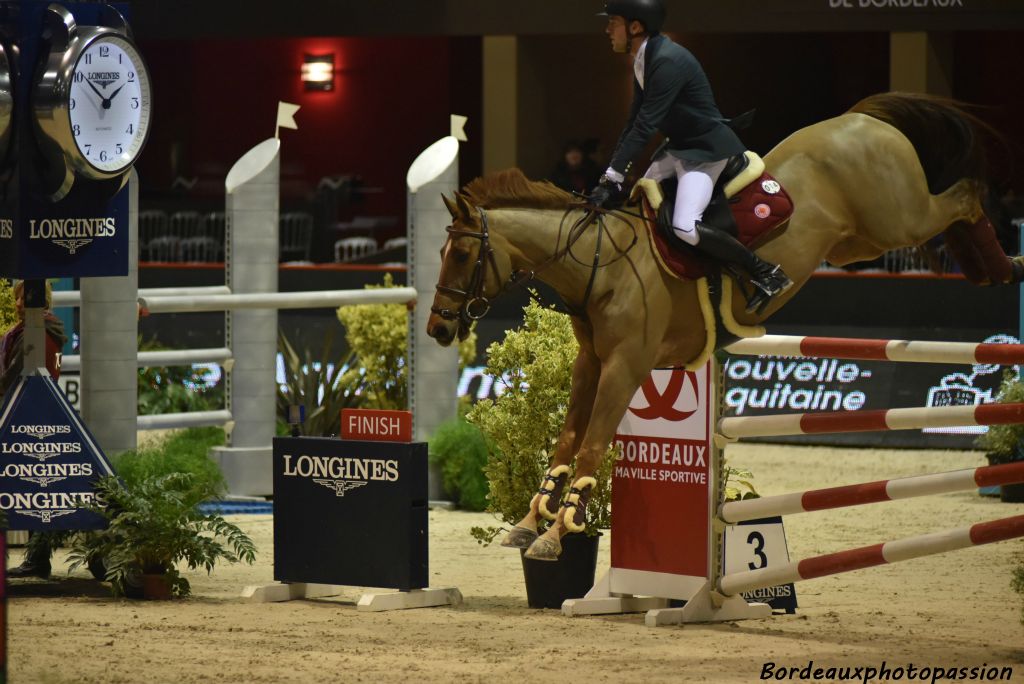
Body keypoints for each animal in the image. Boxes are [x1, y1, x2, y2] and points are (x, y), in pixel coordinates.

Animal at [421, 90, 1024, 561]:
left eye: (460, 256)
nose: (437, 330)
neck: (602, 261)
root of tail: (859, 119)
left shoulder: (625, 367)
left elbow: (592, 445)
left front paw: (555, 534)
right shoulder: (590, 363)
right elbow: (568, 439)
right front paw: (529, 523)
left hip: (895, 220)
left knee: (964, 194)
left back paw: (1000, 264)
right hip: (858, 242)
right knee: (950, 207)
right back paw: (986, 266)